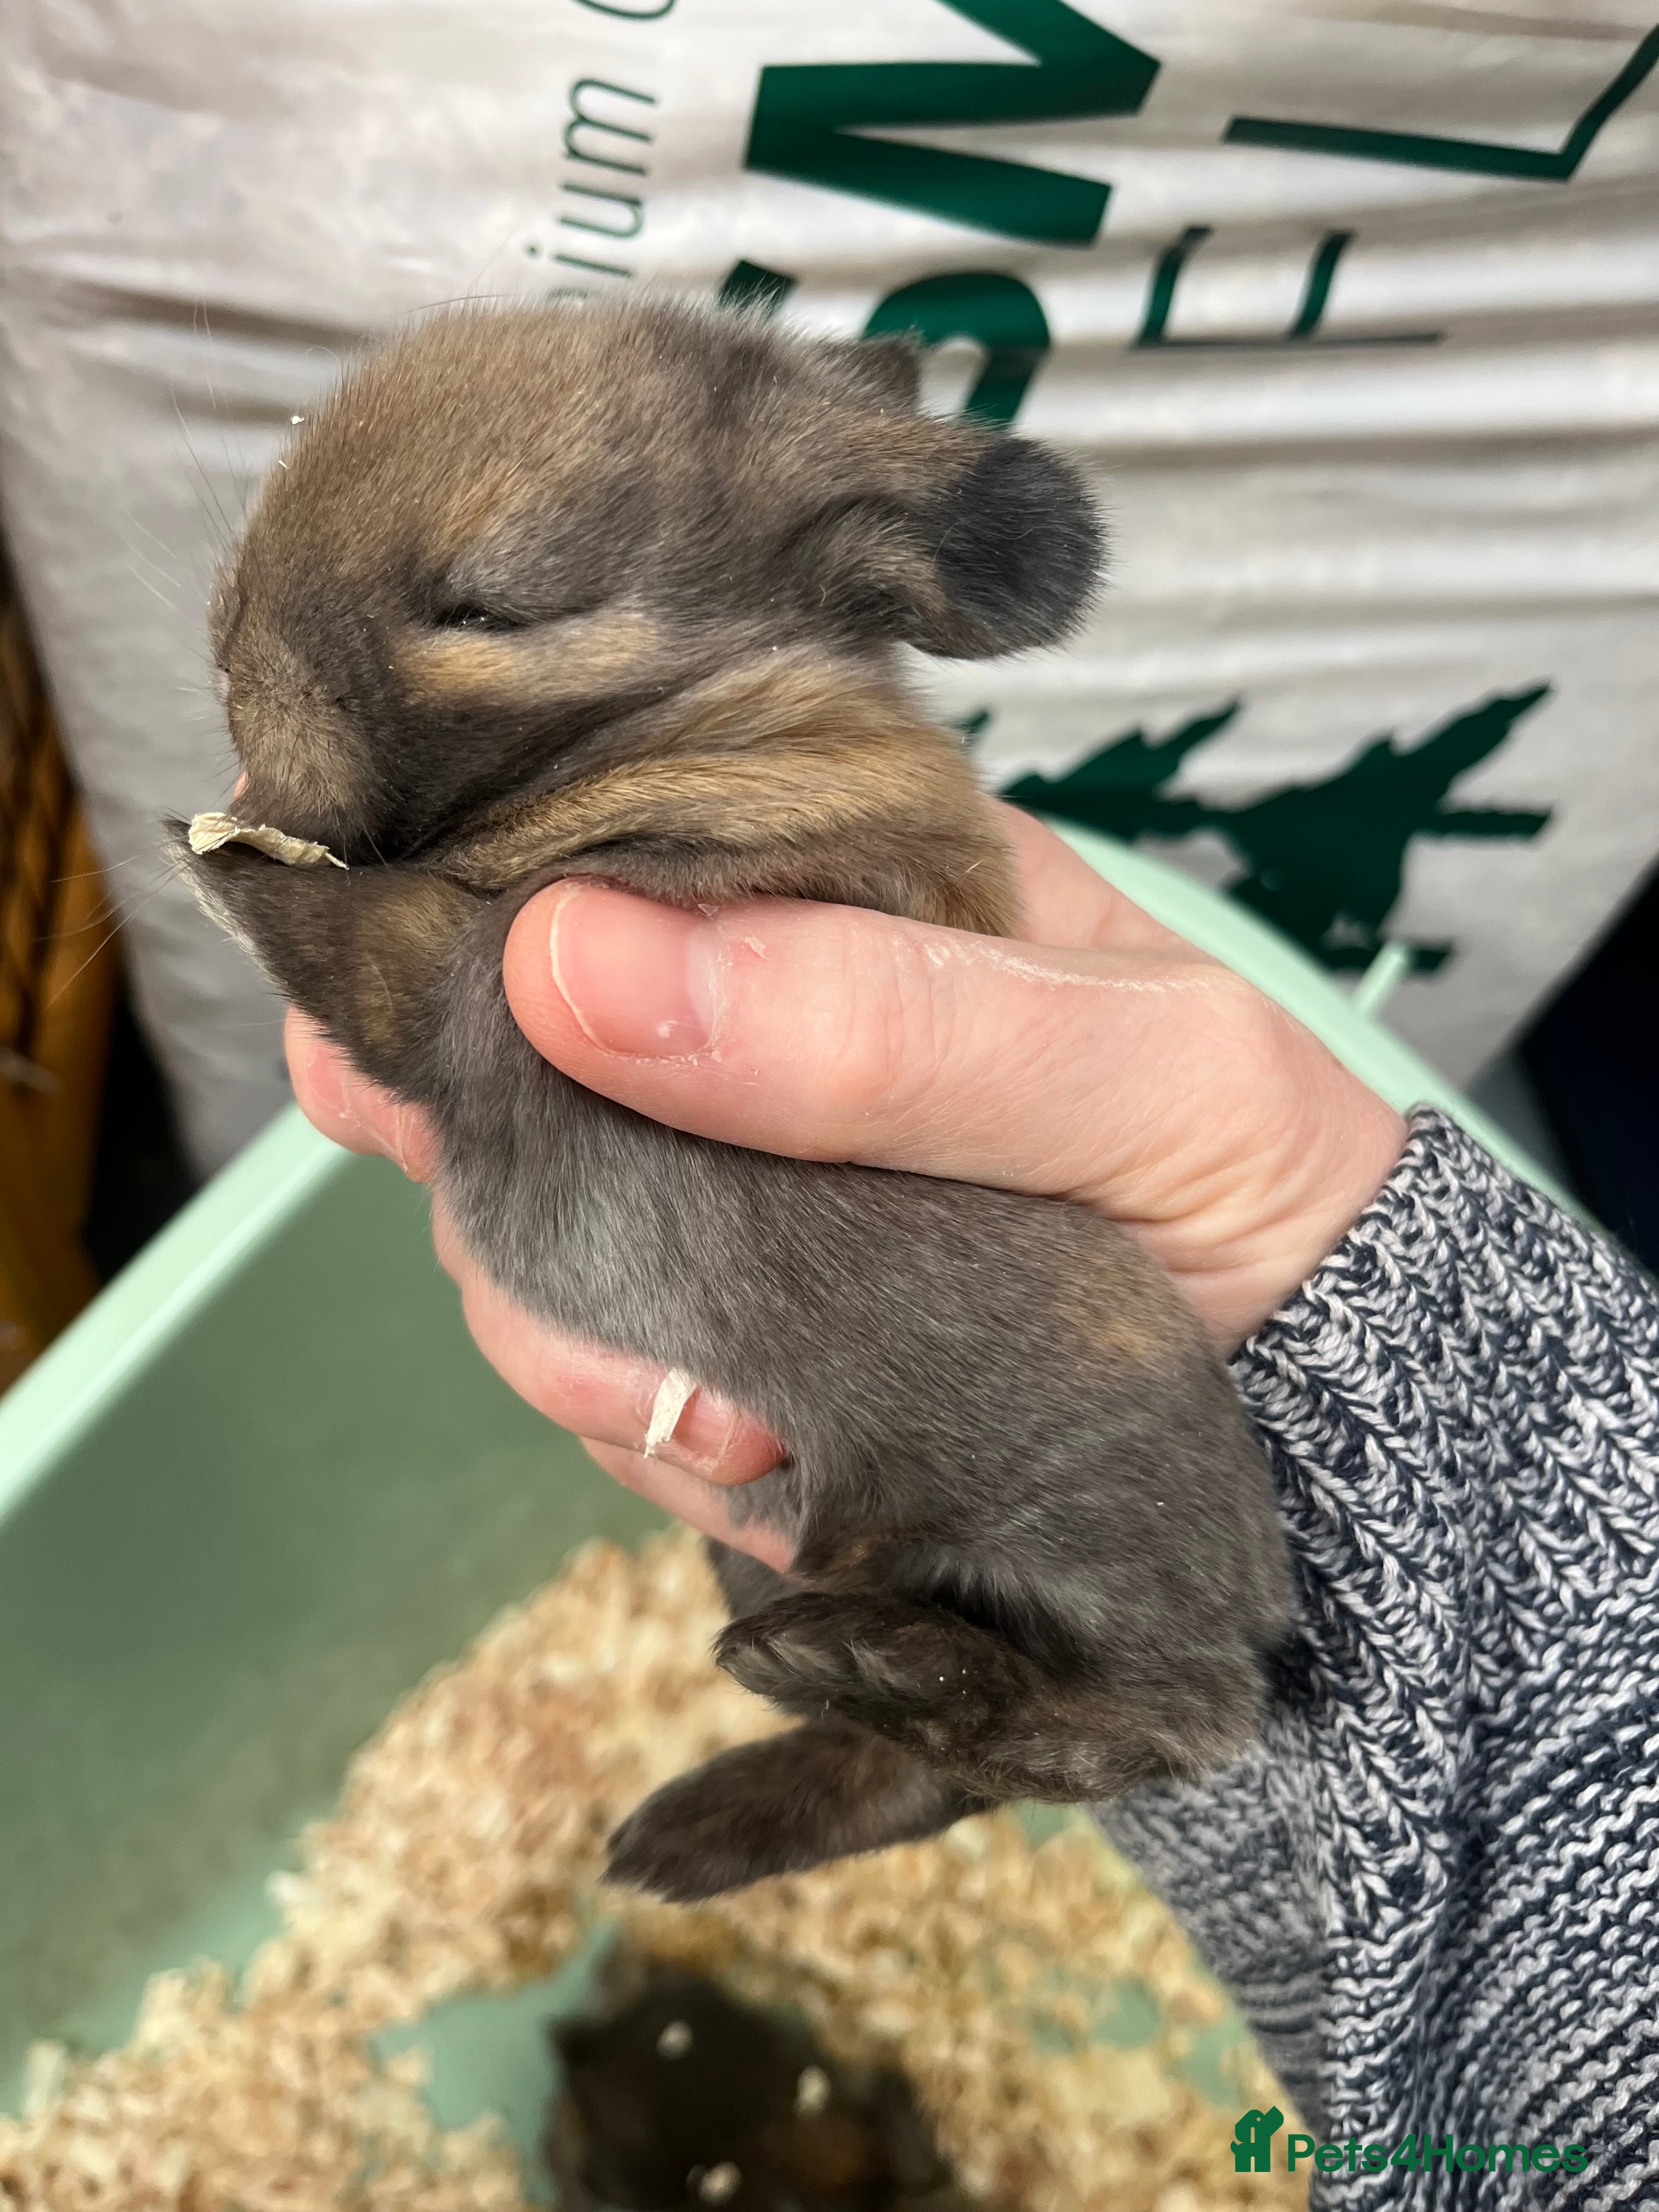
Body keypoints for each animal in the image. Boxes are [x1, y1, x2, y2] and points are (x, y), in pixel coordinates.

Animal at [174, 295, 1291, 1906]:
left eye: (493, 606)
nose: (228, 658)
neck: (697, 722)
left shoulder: (491, 987)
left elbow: (386, 952)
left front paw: (227, 859)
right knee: (927, 1781)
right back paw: (711, 1803)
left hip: (1078, 1494)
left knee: (1141, 1730)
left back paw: (867, 1666)